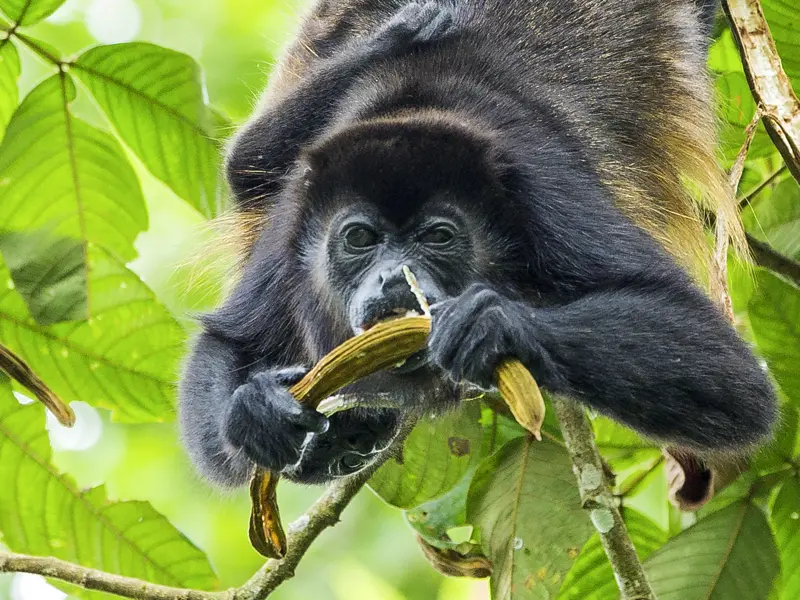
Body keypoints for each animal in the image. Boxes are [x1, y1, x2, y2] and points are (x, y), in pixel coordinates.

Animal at [180, 1, 776, 488]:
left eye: (439, 237)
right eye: (359, 238)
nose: (394, 277)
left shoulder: (542, 185)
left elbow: (727, 369)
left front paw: (492, 325)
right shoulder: (292, 220)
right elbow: (229, 340)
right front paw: (255, 411)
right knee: (247, 160)